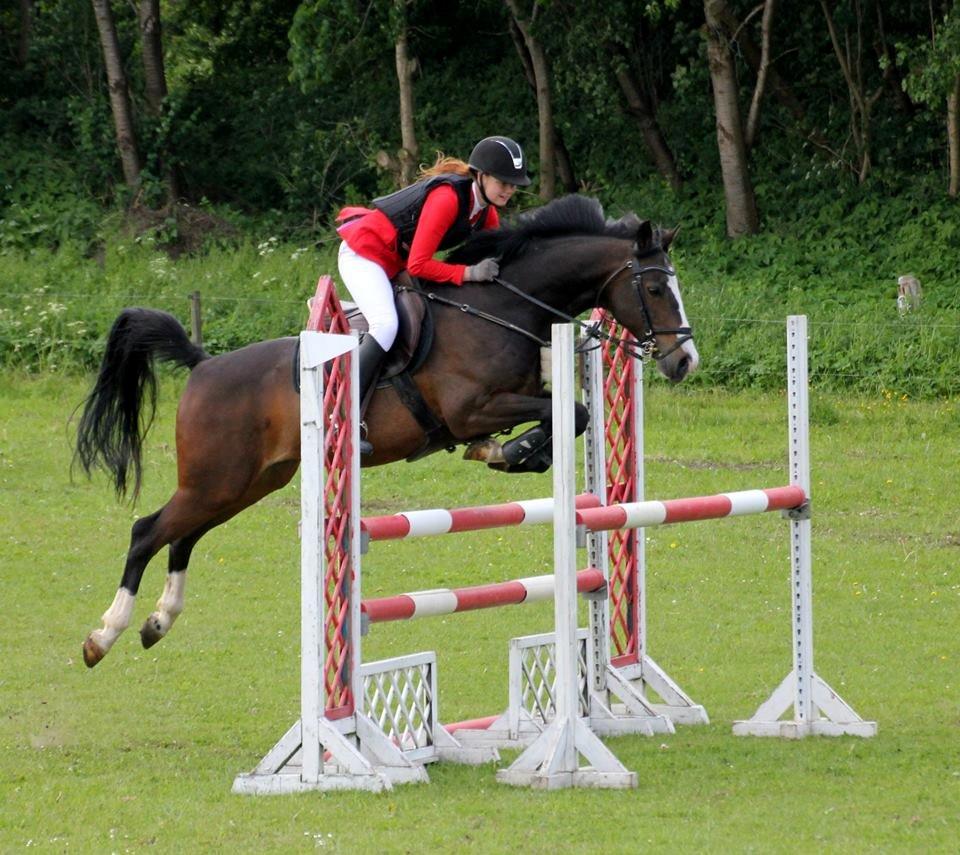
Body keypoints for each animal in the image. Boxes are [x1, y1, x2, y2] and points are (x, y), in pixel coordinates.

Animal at [77, 194, 696, 668]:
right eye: (656, 290)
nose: (684, 360)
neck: (503, 307)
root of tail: (203, 365)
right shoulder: (471, 407)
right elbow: (570, 414)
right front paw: (511, 449)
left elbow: (571, 415)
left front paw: (508, 453)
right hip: (216, 479)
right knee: (147, 532)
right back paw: (103, 636)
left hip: (247, 482)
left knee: (183, 536)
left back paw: (157, 622)